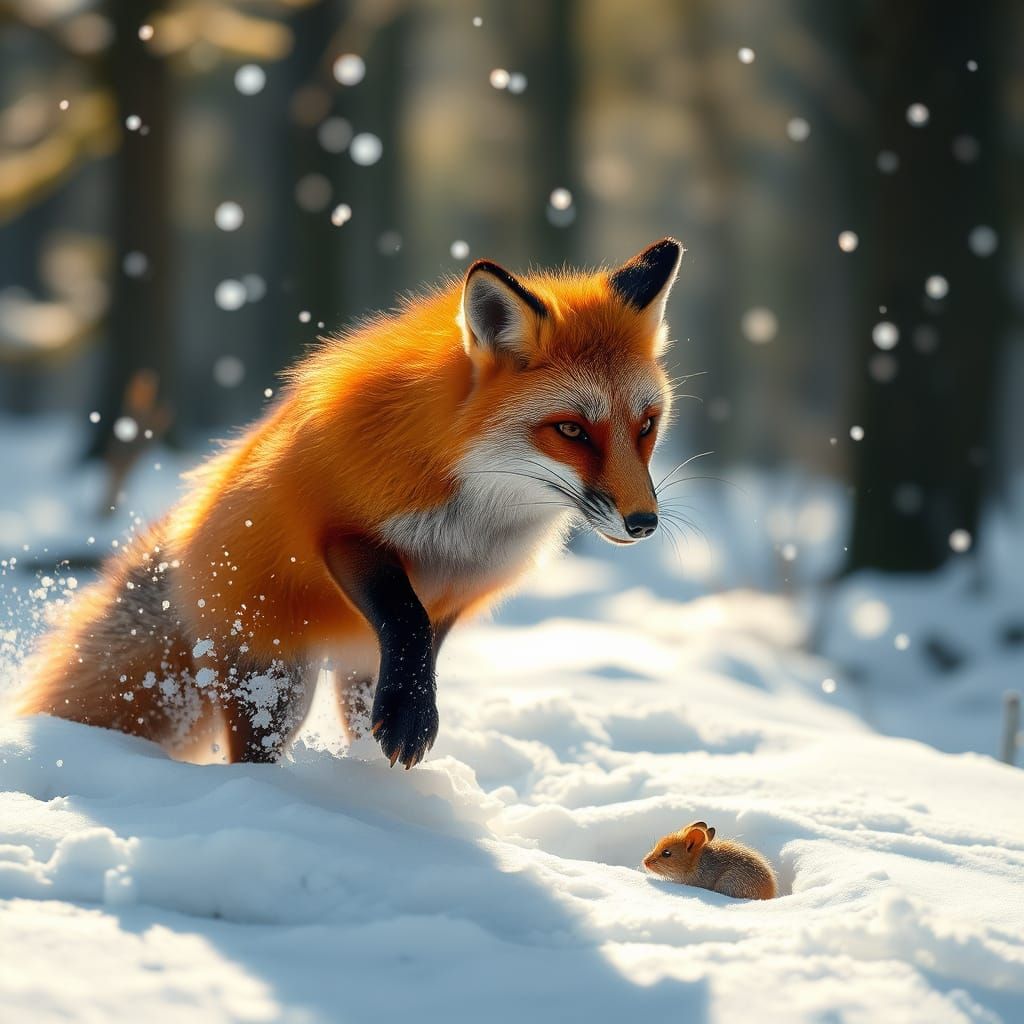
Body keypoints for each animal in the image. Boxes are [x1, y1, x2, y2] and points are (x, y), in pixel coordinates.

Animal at [16, 237, 683, 768]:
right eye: (571, 430)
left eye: (647, 426)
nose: (643, 523)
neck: (475, 509)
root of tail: (183, 543)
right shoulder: (341, 531)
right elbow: (405, 616)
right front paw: (413, 717)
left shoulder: (456, 592)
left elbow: (420, 649)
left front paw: (410, 713)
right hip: (277, 683)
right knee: (251, 753)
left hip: (344, 668)